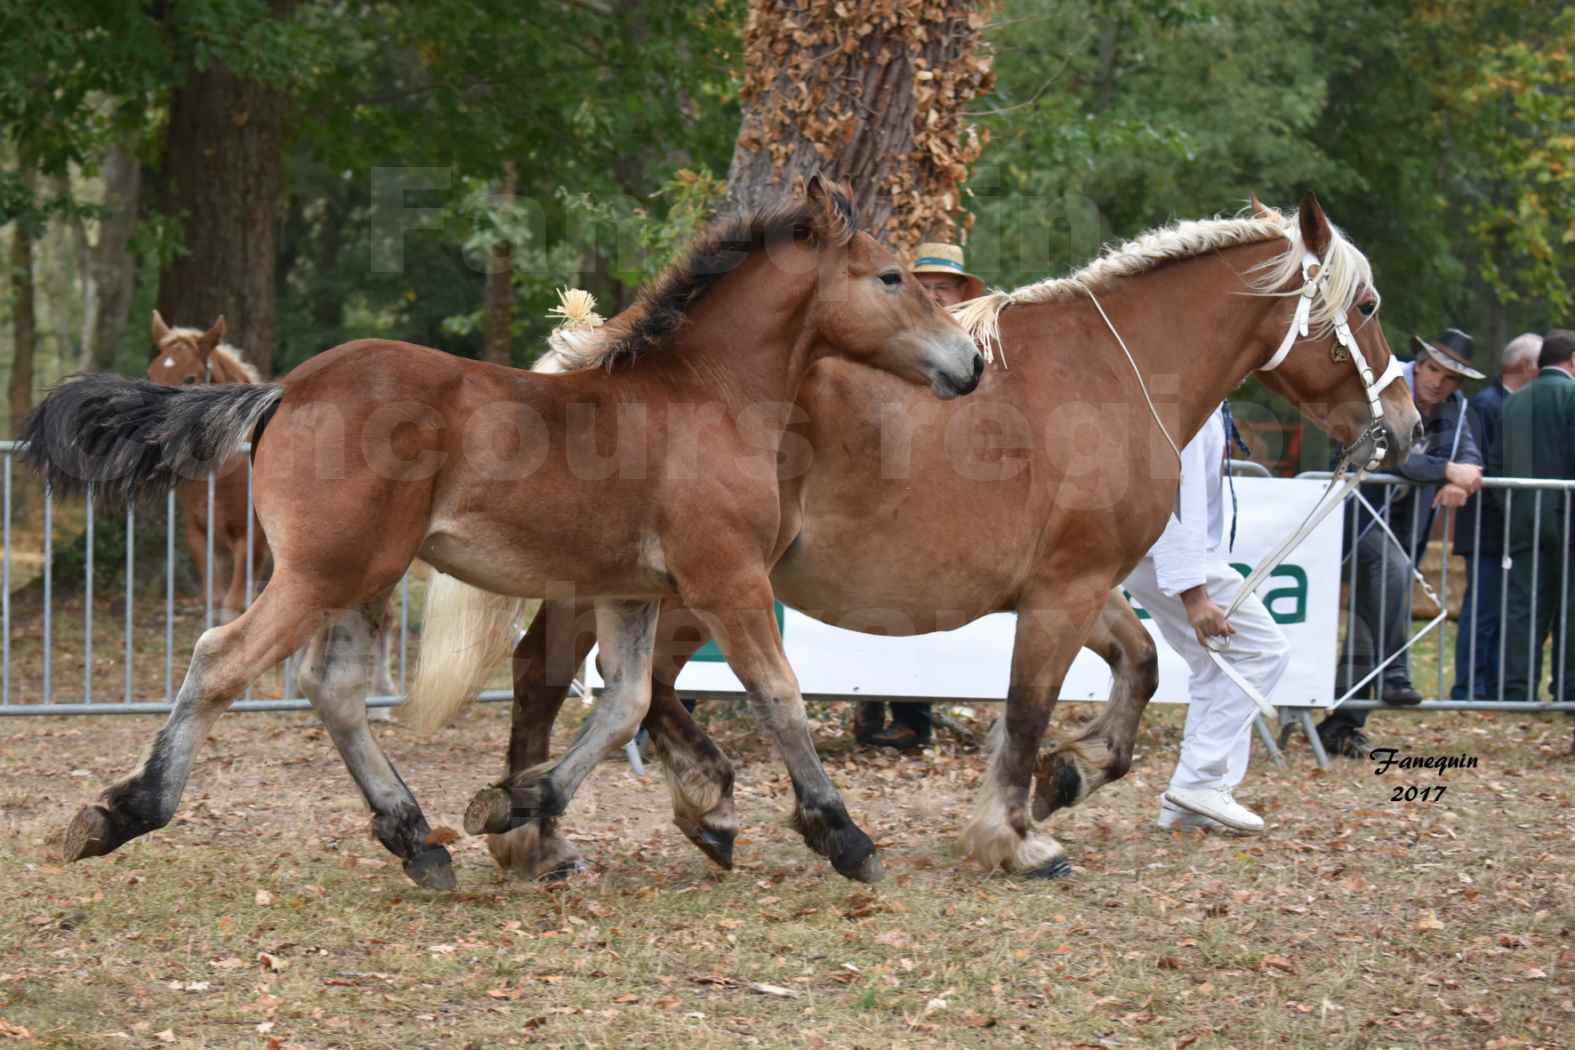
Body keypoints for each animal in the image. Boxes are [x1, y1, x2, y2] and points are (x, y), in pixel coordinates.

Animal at [24, 181, 976, 887]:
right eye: (890, 277)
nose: (968, 365)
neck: (704, 396)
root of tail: (285, 389)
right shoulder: (730, 579)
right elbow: (776, 692)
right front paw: (843, 836)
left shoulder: (629, 590)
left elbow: (624, 705)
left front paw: (512, 805)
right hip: (324, 570)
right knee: (223, 659)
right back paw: (122, 814)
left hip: (365, 576)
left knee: (332, 689)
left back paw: (417, 839)